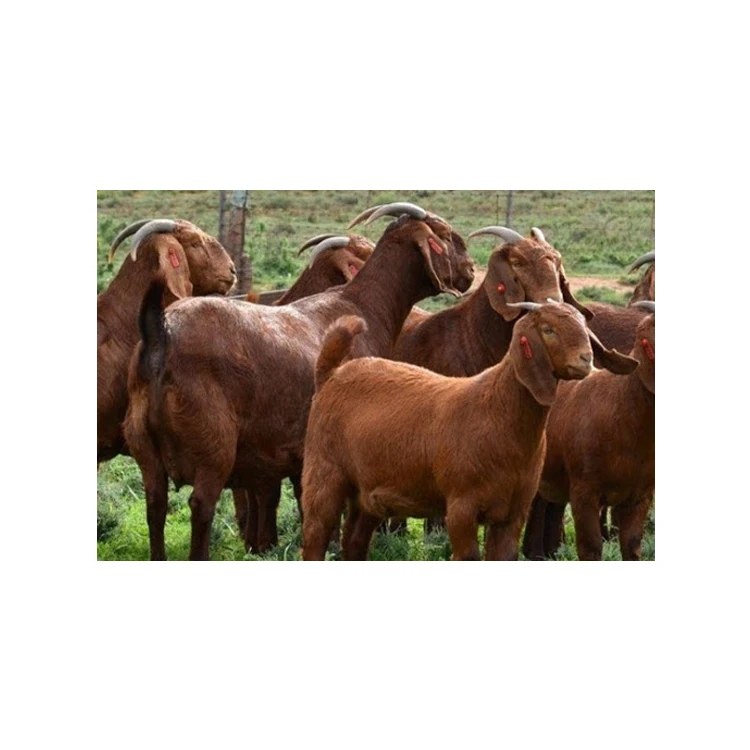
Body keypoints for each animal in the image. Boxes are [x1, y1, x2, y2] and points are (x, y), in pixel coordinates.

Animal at [123, 202, 475, 559]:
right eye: (445, 235)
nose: (471, 270)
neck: (363, 307)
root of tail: (161, 332)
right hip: (213, 448)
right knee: (201, 506)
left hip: (145, 449)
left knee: (156, 506)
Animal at [301, 302, 638, 561]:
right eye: (548, 329)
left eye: (584, 327)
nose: (586, 360)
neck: (498, 413)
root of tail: (332, 374)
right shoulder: (461, 506)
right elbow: (467, 556)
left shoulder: (512, 513)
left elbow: (504, 557)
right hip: (324, 474)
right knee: (315, 536)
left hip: (366, 492)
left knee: (354, 543)